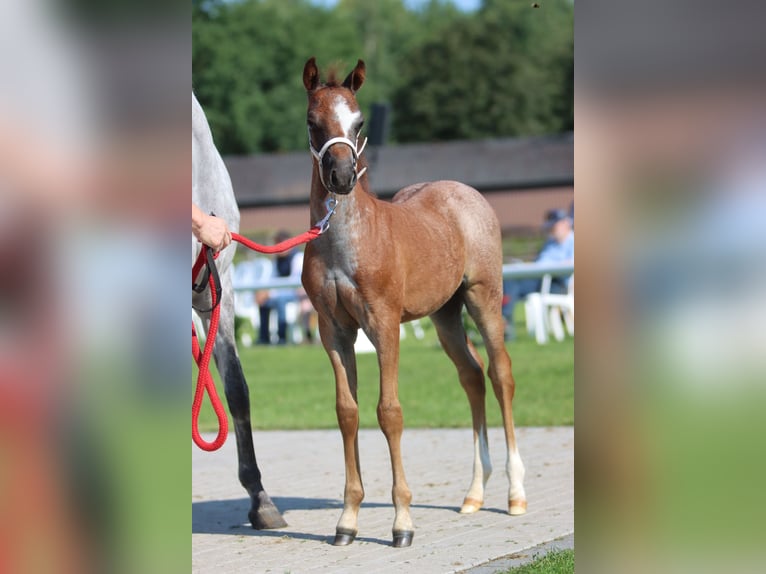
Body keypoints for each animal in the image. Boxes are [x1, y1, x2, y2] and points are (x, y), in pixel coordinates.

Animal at [300, 57, 528, 548]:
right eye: (313, 121)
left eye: (359, 121)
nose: (342, 177)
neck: (344, 242)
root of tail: (465, 192)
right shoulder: (334, 330)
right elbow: (348, 413)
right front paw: (347, 521)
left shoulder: (384, 324)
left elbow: (389, 413)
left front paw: (402, 522)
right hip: (445, 315)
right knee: (472, 376)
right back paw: (473, 494)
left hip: (484, 298)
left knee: (500, 374)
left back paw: (515, 493)